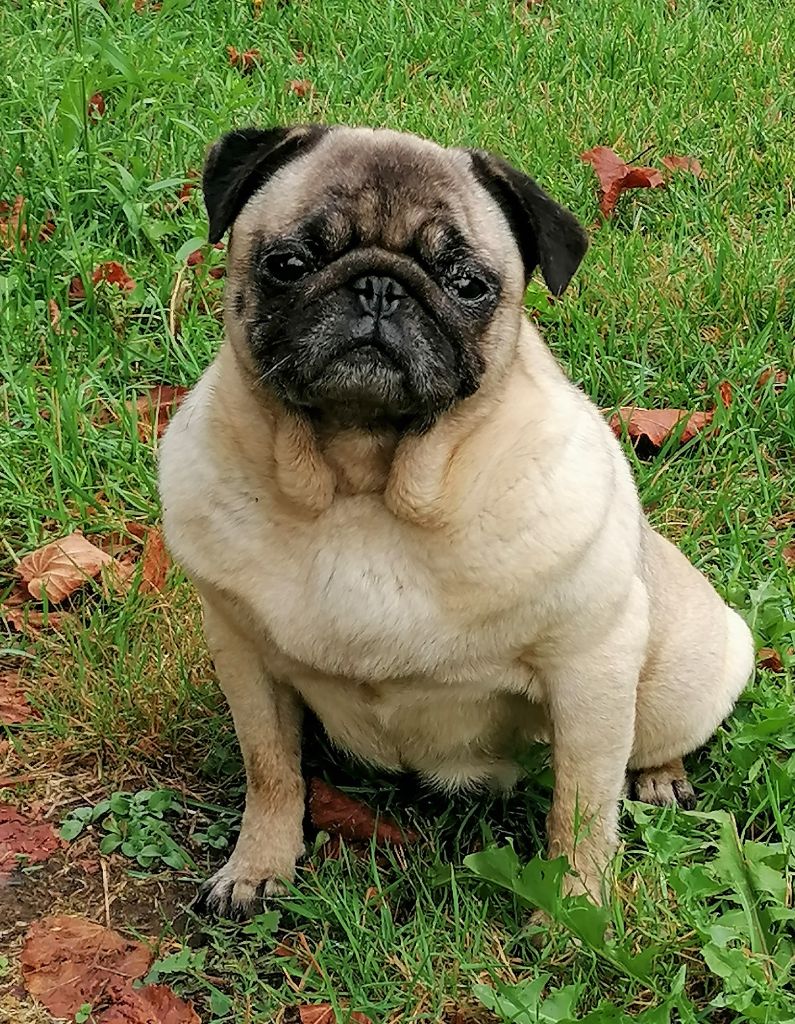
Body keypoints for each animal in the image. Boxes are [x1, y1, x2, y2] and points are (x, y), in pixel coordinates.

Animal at [159, 124, 754, 917]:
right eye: (288, 265)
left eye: (468, 284)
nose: (378, 287)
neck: (363, 481)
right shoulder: (243, 657)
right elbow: (271, 769)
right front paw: (259, 865)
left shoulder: (589, 669)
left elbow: (581, 804)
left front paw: (576, 908)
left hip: (676, 674)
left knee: (651, 741)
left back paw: (659, 776)